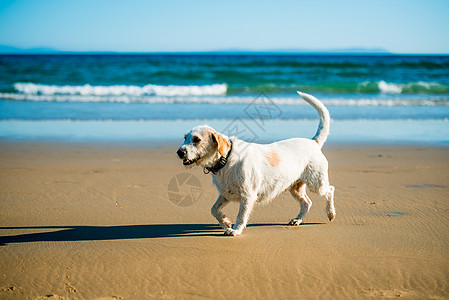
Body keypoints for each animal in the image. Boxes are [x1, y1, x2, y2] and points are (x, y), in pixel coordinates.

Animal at [177, 92, 334, 237]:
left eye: (197, 139)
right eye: (185, 138)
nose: (179, 152)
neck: (226, 159)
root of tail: (313, 141)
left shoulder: (247, 196)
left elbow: (241, 216)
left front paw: (235, 230)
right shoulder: (226, 193)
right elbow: (214, 209)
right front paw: (225, 222)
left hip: (317, 184)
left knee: (330, 190)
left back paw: (331, 213)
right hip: (295, 188)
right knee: (307, 202)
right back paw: (298, 220)